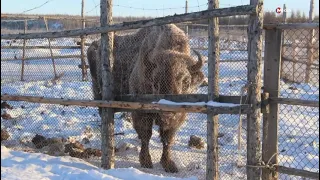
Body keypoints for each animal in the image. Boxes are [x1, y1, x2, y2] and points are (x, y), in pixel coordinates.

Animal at [86, 23, 204, 173]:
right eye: (155, 82)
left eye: (186, 82)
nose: (168, 112)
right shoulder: (141, 112)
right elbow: (146, 135)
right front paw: (146, 161)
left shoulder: (178, 118)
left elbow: (167, 138)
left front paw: (169, 165)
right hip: (98, 92)